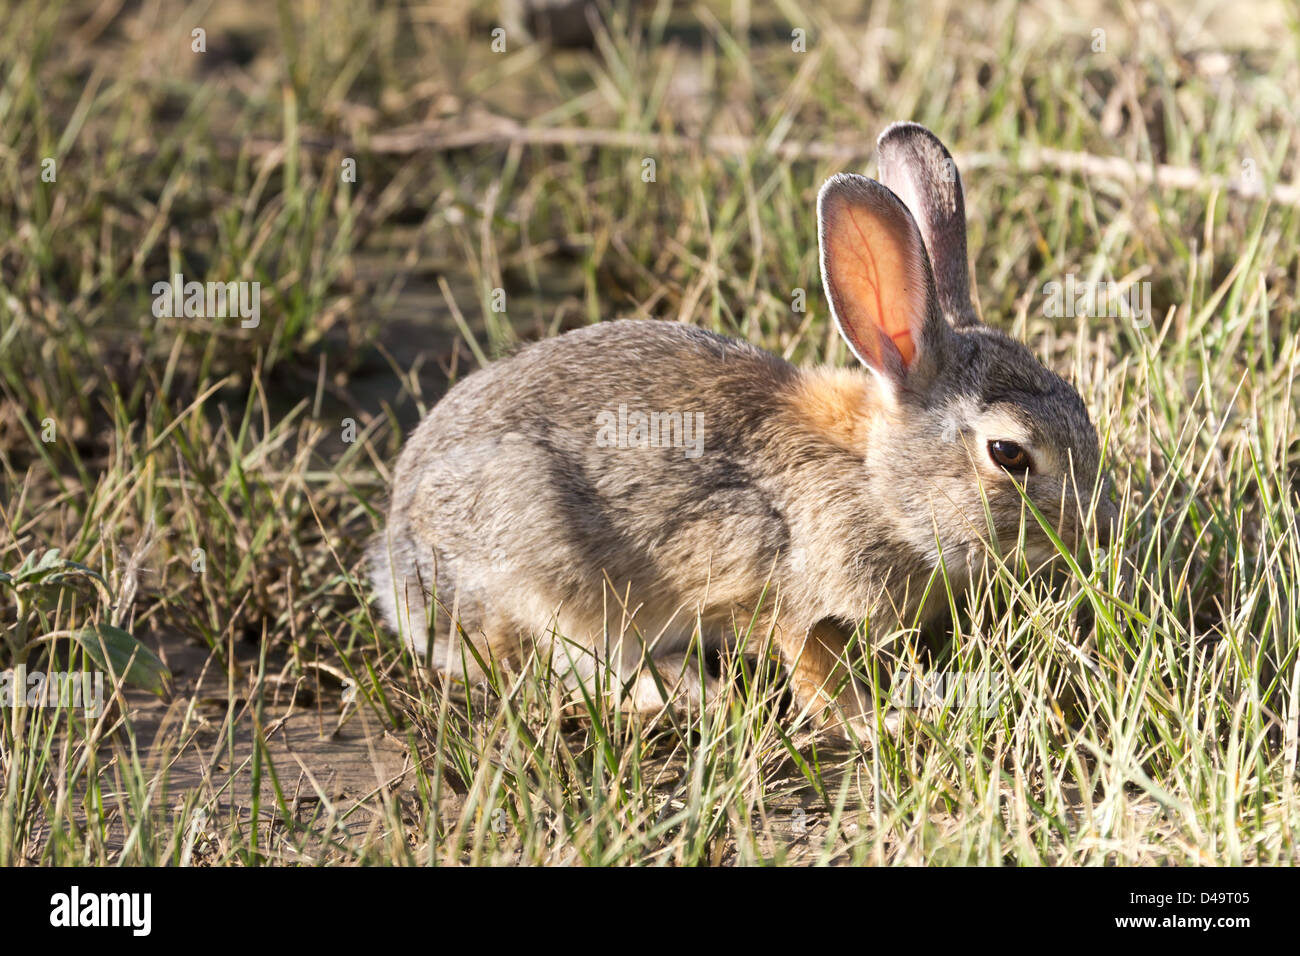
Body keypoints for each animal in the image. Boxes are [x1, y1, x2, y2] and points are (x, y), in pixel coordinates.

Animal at [367, 121, 1116, 737]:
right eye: (1008, 453)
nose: (1100, 530)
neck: (876, 482)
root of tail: (399, 568)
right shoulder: (792, 596)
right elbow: (815, 678)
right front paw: (884, 722)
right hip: (542, 574)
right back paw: (696, 696)